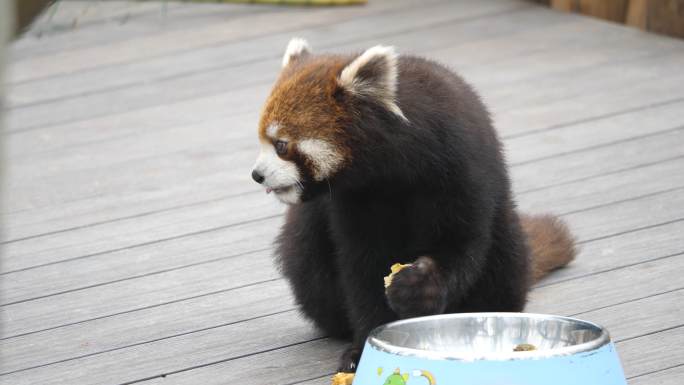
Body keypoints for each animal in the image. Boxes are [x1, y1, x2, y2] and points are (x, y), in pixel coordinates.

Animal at [248, 37, 576, 370]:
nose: (257, 175)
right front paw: (364, 347)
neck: (393, 169)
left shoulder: (459, 166)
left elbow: (463, 244)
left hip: (505, 235)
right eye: (263, 141)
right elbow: (362, 268)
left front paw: (418, 285)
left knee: (504, 255)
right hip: (305, 246)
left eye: (281, 145)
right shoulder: (356, 199)